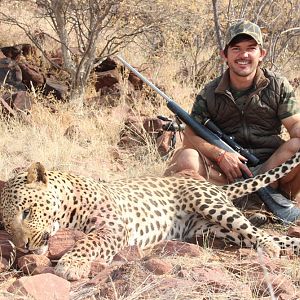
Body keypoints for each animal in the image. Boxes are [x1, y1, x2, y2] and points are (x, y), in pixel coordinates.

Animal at [0, 152, 300, 282]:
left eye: (26, 212)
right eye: (5, 225)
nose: (25, 246)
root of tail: (216, 187)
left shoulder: (114, 227)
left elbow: (88, 241)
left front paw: (71, 264)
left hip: (209, 205)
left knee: (259, 233)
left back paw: (269, 248)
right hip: (214, 230)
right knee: (267, 236)